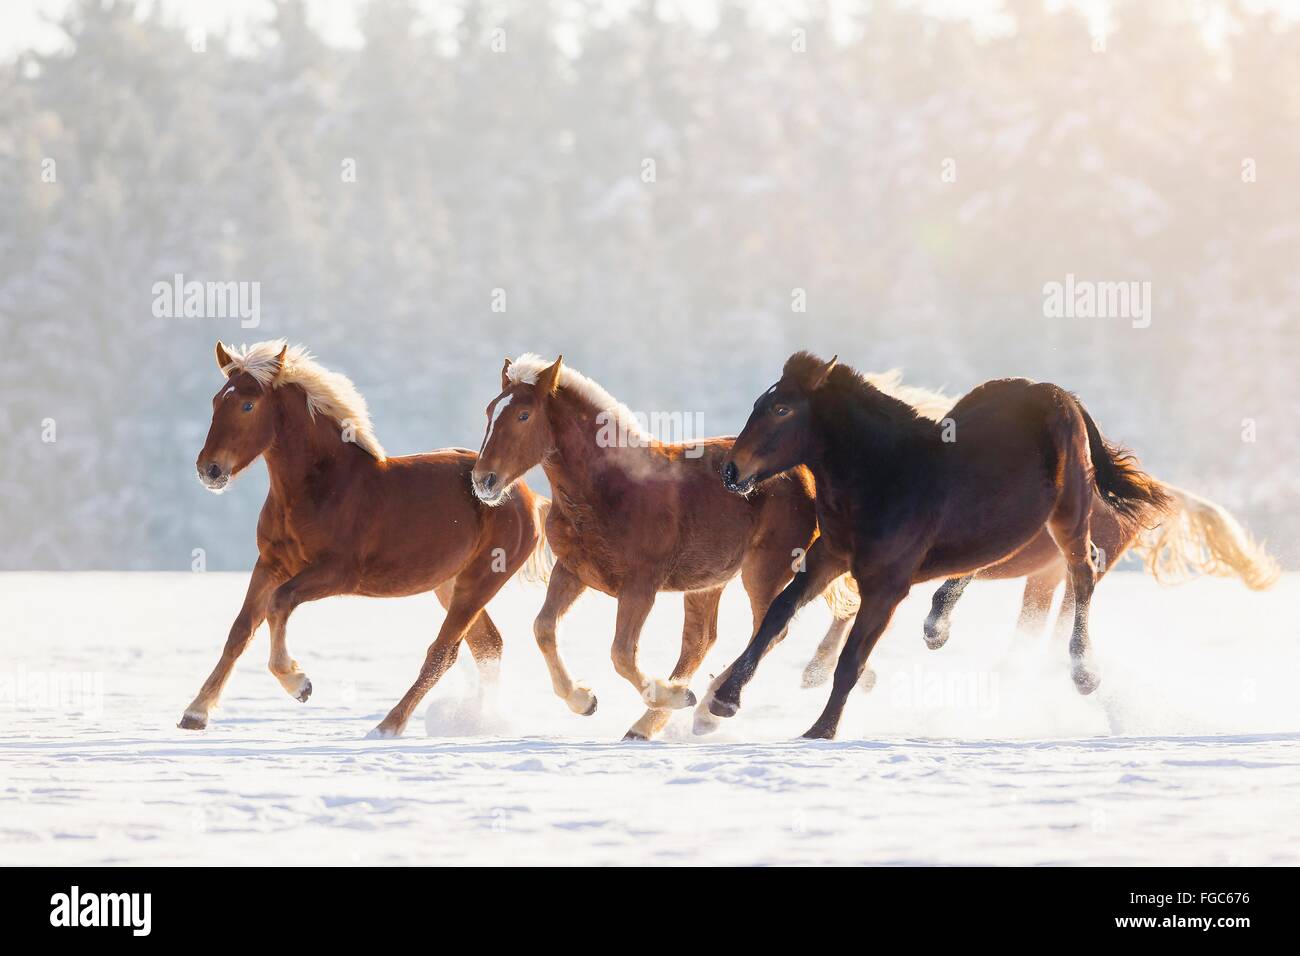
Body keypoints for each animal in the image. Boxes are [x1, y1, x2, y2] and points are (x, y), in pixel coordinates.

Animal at [180, 340, 546, 738]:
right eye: (217, 401)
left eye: (248, 405)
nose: (209, 469)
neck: (323, 486)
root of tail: (525, 494)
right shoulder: (270, 564)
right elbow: (240, 630)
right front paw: (195, 712)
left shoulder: (338, 573)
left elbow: (280, 603)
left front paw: (299, 683)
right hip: (451, 584)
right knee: (487, 646)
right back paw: (480, 722)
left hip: (481, 581)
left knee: (444, 652)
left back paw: (388, 726)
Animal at [467, 353, 852, 738]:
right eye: (489, 411)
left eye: (523, 415)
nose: (484, 480)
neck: (610, 489)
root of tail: (804, 471)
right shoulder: (572, 571)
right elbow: (543, 629)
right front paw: (584, 700)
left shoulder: (641, 585)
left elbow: (622, 653)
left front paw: (671, 696)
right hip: (707, 583)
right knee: (700, 641)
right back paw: (653, 721)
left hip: (764, 571)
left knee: (768, 630)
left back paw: (708, 709)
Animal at [696, 351, 1175, 738]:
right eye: (759, 405)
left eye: (781, 408)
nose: (731, 471)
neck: (884, 477)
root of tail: (1063, 396)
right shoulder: (828, 556)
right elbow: (777, 615)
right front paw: (726, 699)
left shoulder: (886, 587)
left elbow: (851, 660)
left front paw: (821, 729)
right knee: (1003, 557)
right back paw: (937, 624)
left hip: (1069, 511)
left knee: (1084, 570)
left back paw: (1084, 673)